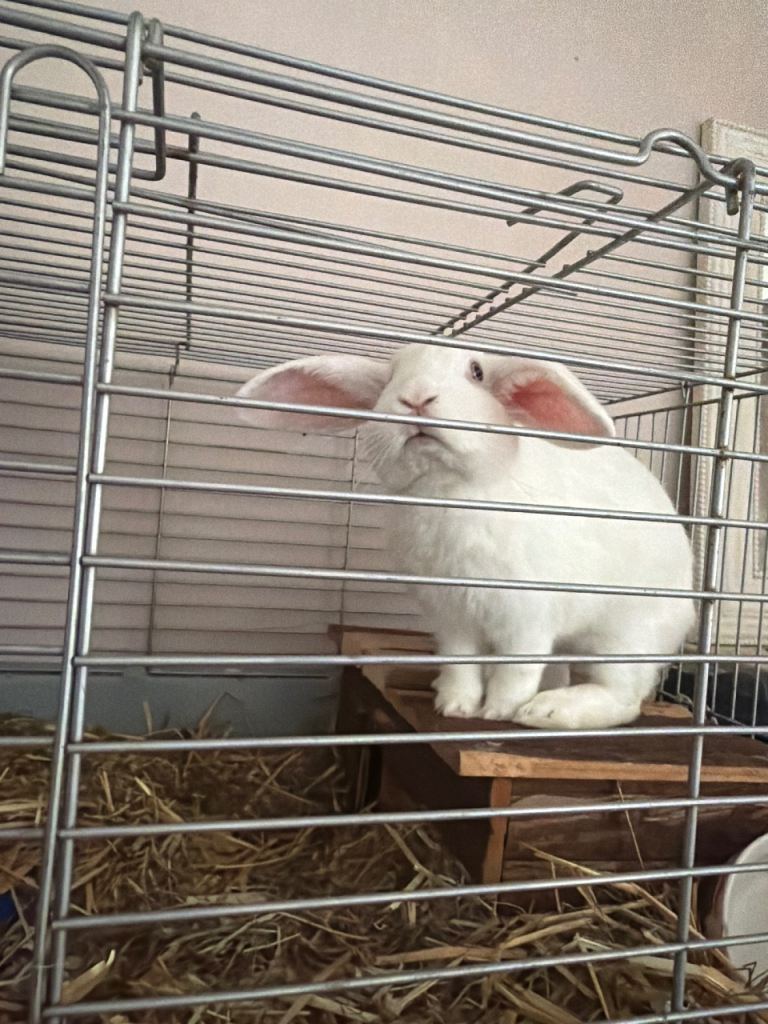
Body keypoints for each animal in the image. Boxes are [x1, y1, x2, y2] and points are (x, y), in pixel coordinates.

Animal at [236, 342, 695, 730]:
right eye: (391, 376)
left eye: (476, 371)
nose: (417, 398)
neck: (449, 492)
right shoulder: (449, 619)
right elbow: (461, 664)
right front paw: (455, 706)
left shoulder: (526, 617)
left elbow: (517, 669)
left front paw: (499, 711)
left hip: (626, 636)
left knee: (622, 697)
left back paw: (547, 711)